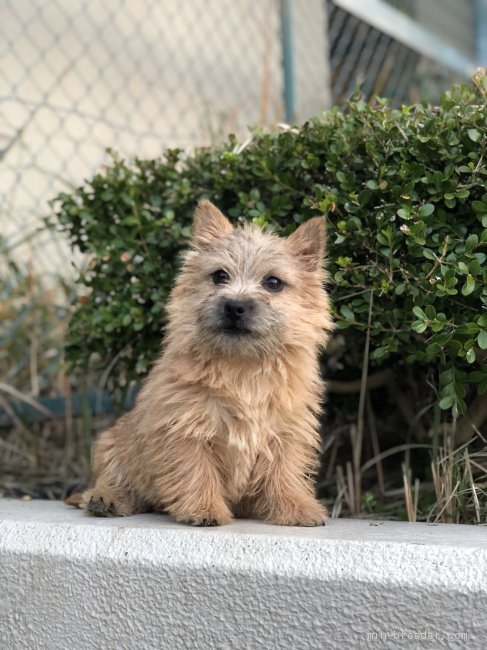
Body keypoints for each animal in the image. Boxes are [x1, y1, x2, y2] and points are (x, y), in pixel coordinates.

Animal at [68, 200, 334, 524]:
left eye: (273, 282)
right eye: (220, 275)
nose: (235, 306)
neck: (242, 366)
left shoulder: (286, 432)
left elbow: (285, 473)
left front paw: (296, 507)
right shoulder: (184, 428)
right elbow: (196, 470)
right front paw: (204, 508)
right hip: (113, 447)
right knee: (120, 483)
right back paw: (106, 499)